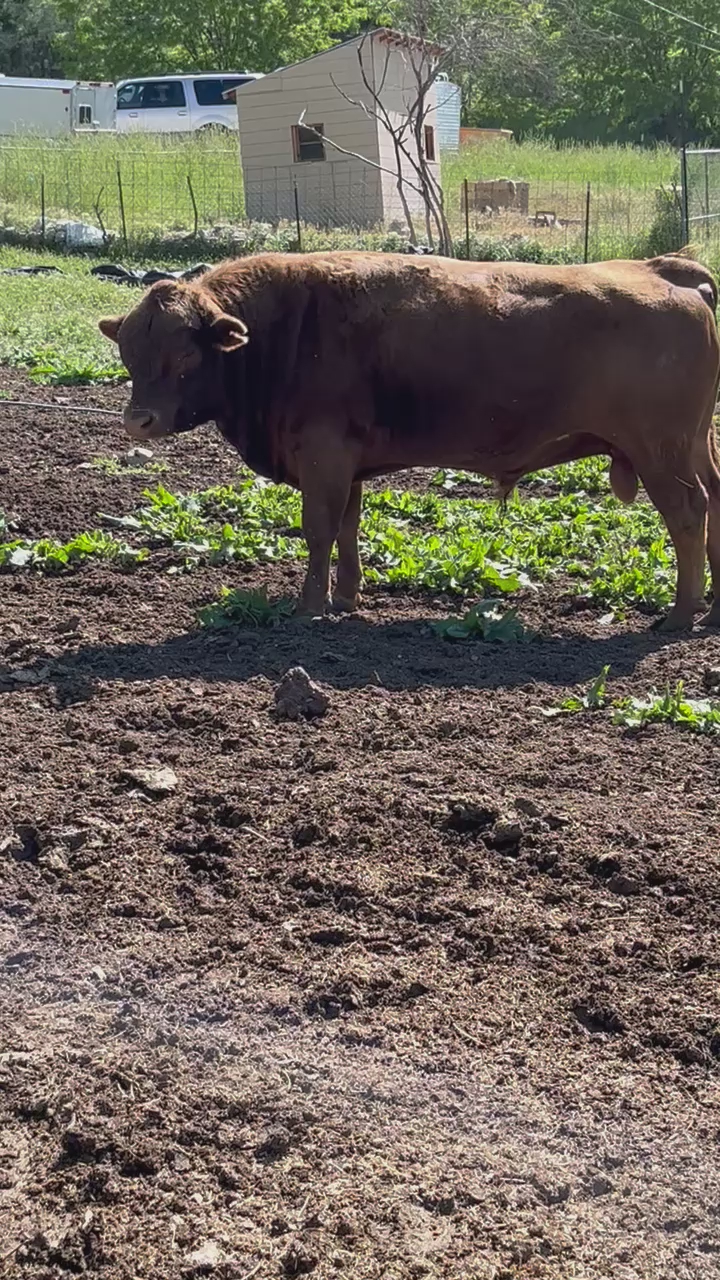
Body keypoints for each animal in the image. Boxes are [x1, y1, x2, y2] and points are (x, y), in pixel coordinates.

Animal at [99, 250, 720, 630]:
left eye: (183, 356)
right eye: (128, 352)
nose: (138, 421)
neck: (285, 329)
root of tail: (665, 269)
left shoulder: (323, 456)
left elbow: (318, 529)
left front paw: (308, 606)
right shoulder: (345, 463)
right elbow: (346, 528)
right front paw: (345, 597)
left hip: (660, 452)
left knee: (688, 513)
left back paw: (681, 613)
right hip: (694, 446)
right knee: (713, 505)